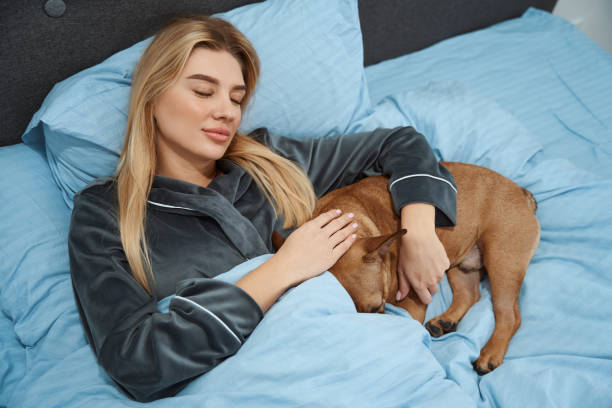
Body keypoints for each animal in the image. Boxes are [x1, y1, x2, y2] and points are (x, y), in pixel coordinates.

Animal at [278, 161, 540, 374]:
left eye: (376, 309)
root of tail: (522, 193)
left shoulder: (412, 301)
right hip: (461, 265)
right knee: (469, 295)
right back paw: (444, 322)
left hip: (502, 260)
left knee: (509, 315)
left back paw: (490, 355)